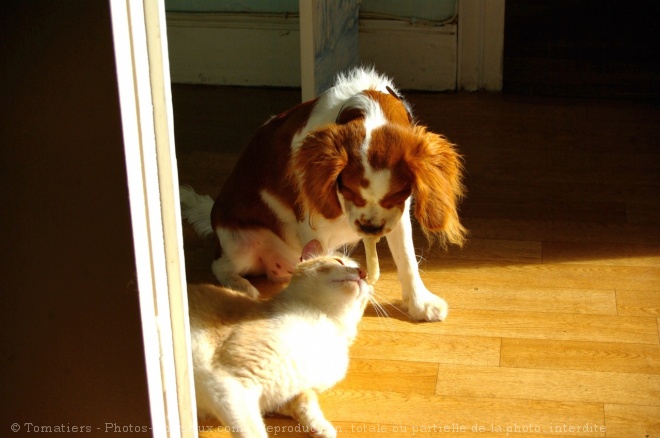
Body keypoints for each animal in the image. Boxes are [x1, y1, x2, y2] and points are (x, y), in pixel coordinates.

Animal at [180, 68, 466, 322]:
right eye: (347, 189)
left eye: (396, 194)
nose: (370, 228)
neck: (367, 105)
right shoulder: (315, 227)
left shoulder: (398, 215)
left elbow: (407, 259)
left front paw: (420, 304)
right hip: (241, 244)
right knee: (219, 265)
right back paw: (240, 286)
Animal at [188, 241, 374, 436]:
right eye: (338, 261)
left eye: (366, 276)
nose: (363, 272)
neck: (329, 326)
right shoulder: (230, 383)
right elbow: (253, 431)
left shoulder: (282, 396)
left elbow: (305, 400)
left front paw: (321, 427)